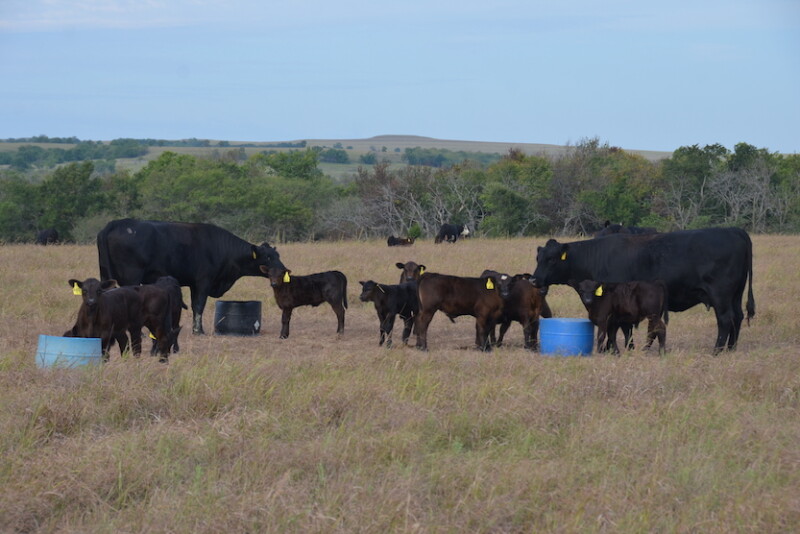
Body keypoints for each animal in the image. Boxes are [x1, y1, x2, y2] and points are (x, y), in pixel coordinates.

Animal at [97, 218, 285, 335]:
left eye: (277, 255)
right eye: (268, 257)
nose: (284, 270)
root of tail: (118, 222)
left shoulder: (195, 284)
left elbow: (195, 306)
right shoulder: (203, 281)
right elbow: (199, 305)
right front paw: (198, 331)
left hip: (106, 276)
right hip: (131, 277)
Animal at [530, 227, 755, 353]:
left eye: (551, 259)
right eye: (538, 258)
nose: (534, 279)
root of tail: (733, 230)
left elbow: (622, 328)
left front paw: (617, 349)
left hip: (720, 295)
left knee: (725, 319)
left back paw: (717, 350)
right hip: (735, 294)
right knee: (737, 317)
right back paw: (731, 349)